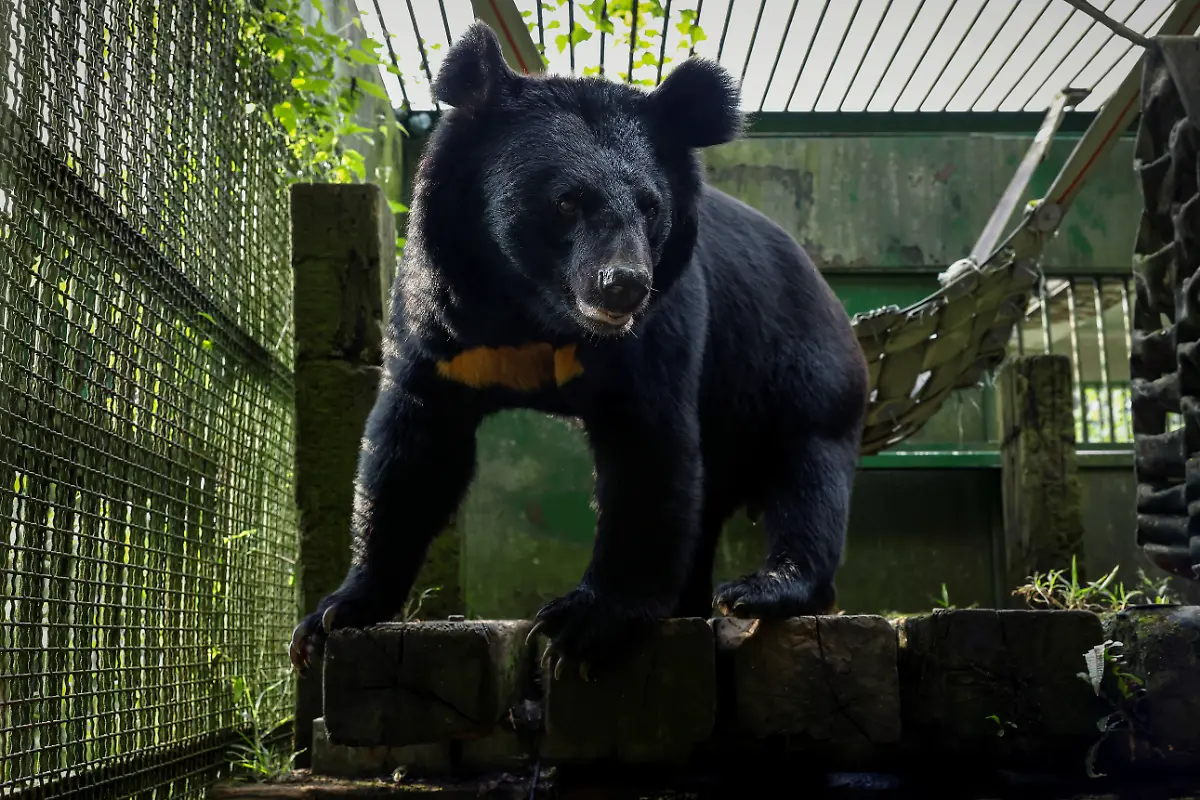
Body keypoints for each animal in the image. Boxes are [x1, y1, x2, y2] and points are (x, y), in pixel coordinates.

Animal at [289, 21, 868, 677]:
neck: (535, 309)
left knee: (807, 477)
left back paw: (761, 590)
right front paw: (332, 616)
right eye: (566, 201)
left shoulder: (659, 330)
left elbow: (648, 446)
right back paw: (690, 603)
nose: (624, 285)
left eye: (650, 206)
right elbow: (410, 455)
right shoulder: (440, 328)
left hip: (804, 371)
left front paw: (585, 620)